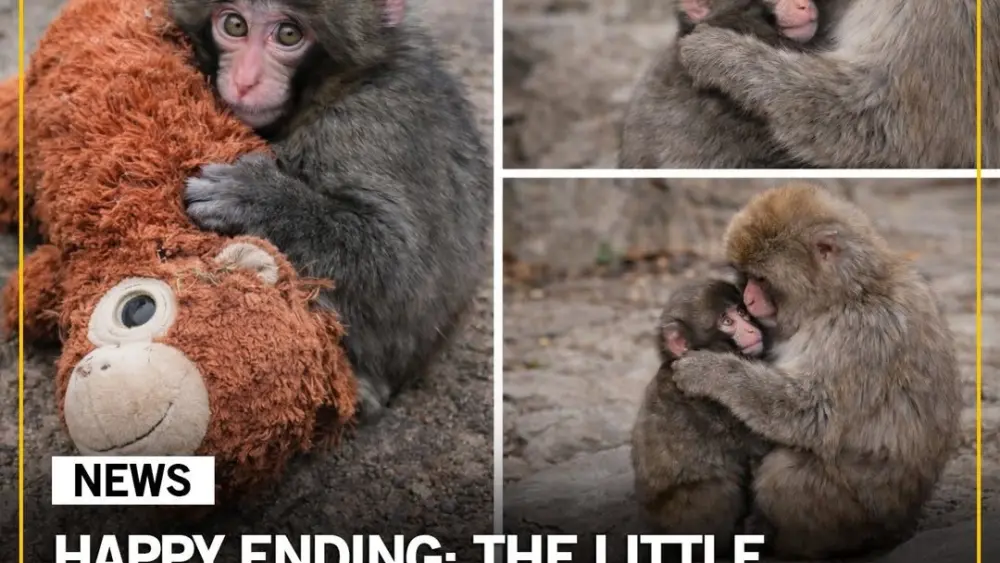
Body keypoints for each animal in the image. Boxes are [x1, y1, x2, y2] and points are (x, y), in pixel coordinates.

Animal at [167, 0, 492, 421]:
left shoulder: (373, 123)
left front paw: (256, 197)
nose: (245, 81)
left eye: (289, 34)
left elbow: (399, 268)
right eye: (235, 25)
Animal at [670, 184, 963, 559]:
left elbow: (815, 412)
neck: (845, 295)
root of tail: (904, 521)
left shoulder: (861, 333)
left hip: (857, 511)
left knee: (784, 473)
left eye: (761, 279)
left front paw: (711, 372)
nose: (748, 300)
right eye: (745, 276)